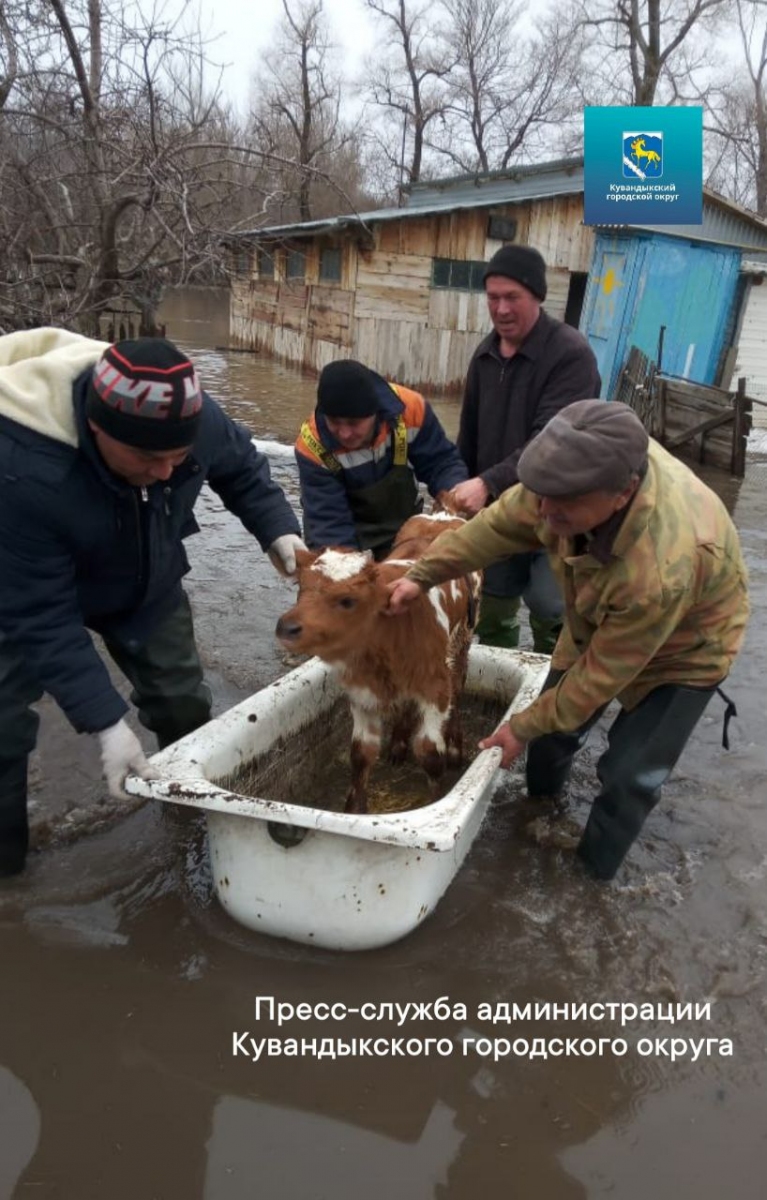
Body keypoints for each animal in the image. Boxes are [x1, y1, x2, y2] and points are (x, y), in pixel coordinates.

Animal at [274, 513, 480, 816]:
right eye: (302, 587)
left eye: (348, 600)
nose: (286, 628)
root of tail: (442, 515)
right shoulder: (362, 692)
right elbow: (361, 754)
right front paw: (353, 810)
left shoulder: (435, 689)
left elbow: (430, 754)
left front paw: (436, 799)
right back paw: (398, 744)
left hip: (461, 644)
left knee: (459, 688)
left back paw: (455, 749)